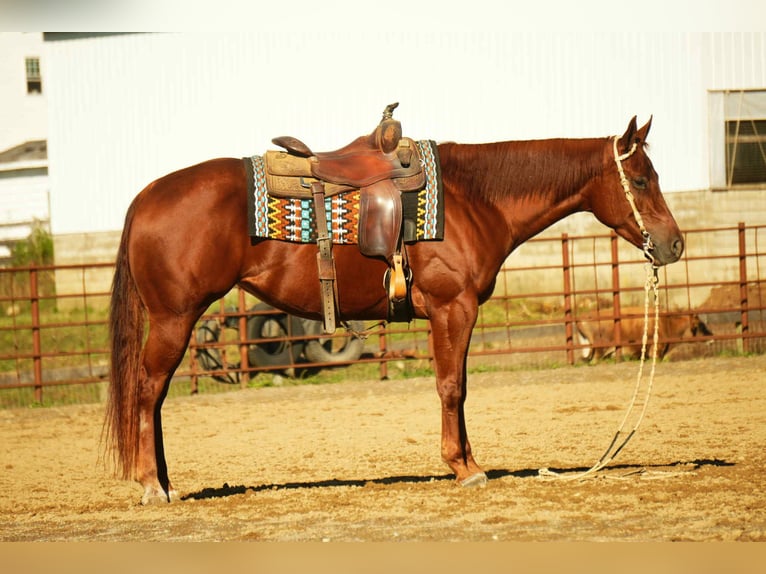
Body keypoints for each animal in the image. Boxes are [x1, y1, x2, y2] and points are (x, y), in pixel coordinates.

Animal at [105, 115, 684, 504]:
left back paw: (164, 482)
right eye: (640, 180)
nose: (674, 245)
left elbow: (459, 387)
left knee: (154, 396)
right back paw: (152, 485)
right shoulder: (455, 310)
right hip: (174, 320)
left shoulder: (453, 315)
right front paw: (464, 468)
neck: (474, 198)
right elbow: (452, 387)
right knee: (148, 390)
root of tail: (146, 196)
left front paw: (468, 461)